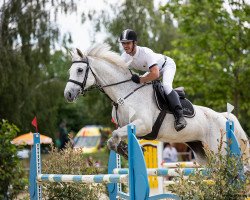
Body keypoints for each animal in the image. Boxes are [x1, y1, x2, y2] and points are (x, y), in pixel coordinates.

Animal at [65, 43, 250, 165]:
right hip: (202, 151)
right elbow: (113, 139)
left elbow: (116, 135)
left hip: (218, 151)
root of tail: (224, 117)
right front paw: (125, 151)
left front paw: (126, 151)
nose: (68, 94)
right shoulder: (127, 126)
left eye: (80, 70)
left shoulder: (143, 125)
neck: (124, 93)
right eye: (70, 71)